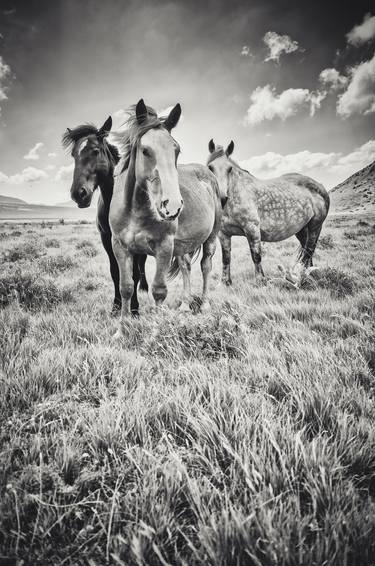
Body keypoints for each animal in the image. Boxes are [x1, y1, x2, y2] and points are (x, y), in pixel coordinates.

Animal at [62, 117, 148, 318]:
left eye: (95, 151)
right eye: (73, 155)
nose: (78, 194)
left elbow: (133, 273)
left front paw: (134, 309)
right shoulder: (106, 238)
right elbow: (115, 272)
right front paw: (116, 306)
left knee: (142, 266)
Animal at [110, 100, 225, 336]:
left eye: (176, 151)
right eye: (145, 150)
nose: (172, 205)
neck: (136, 210)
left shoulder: (163, 247)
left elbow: (159, 291)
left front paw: (155, 331)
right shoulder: (120, 247)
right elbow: (126, 287)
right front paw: (122, 330)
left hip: (210, 238)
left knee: (206, 267)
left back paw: (205, 305)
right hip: (181, 246)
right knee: (186, 267)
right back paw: (184, 306)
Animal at [207, 140, 330, 286]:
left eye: (229, 169)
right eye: (210, 167)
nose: (221, 198)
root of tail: (320, 186)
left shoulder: (252, 229)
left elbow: (256, 256)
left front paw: (261, 280)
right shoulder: (224, 234)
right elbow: (226, 259)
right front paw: (225, 282)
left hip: (315, 226)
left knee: (309, 250)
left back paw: (303, 277)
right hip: (301, 229)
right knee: (307, 251)